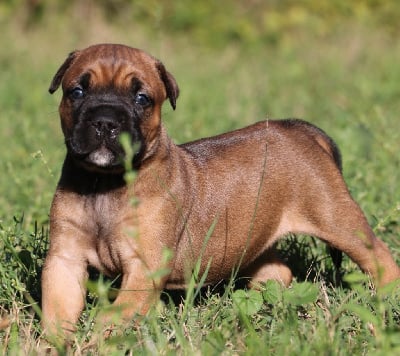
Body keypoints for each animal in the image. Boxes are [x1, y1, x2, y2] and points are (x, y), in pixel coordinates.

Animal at [41, 44, 400, 336]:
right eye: (77, 92)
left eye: (142, 99)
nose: (105, 122)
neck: (104, 183)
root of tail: (297, 128)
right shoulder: (64, 260)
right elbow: (57, 314)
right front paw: (55, 344)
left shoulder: (144, 268)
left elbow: (112, 318)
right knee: (277, 270)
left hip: (338, 219)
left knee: (380, 259)